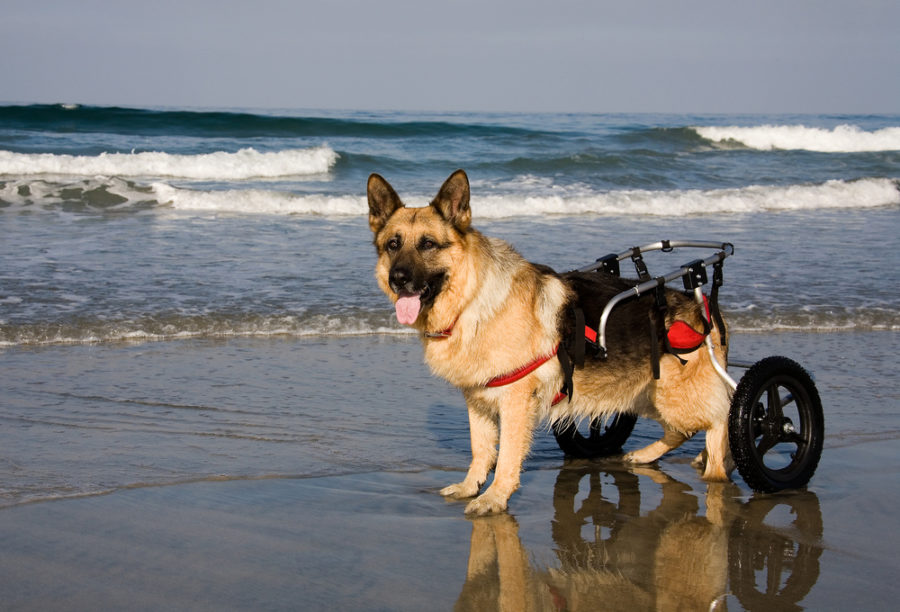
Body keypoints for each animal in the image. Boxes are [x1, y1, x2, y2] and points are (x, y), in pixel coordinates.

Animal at [366, 170, 732, 512]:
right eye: (393, 245)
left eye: (428, 244)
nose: (398, 279)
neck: (472, 301)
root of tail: (702, 308)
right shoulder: (478, 400)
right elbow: (480, 449)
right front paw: (471, 486)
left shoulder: (515, 401)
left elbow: (507, 455)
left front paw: (495, 497)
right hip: (645, 393)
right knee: (683, 429)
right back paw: (646, 455)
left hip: (674, 396)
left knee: (720, 418)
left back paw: (715, 469)